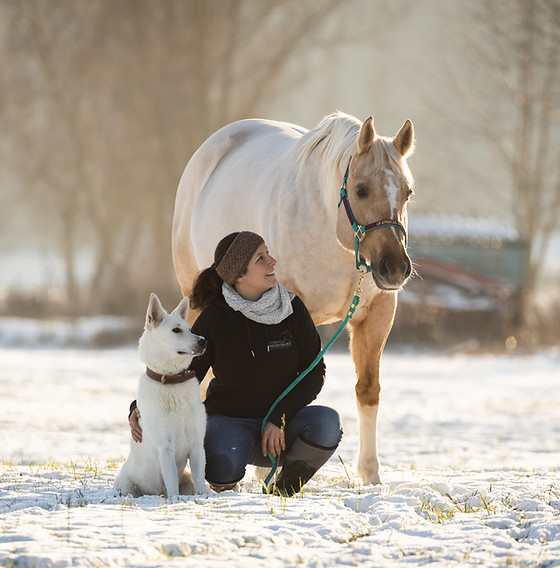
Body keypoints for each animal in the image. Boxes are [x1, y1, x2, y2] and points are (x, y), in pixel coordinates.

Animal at [114, 292, 208, 496]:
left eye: (189, 329)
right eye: (176, 330)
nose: (204, 340)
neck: (172, 381)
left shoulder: (197, 446)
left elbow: (200, 482)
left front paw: (204, 498)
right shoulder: (165, 448)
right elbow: (172, 486)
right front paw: (174, 500)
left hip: (186, 478)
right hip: (126, 486)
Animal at [173, 111, 414, 484]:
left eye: (407, 192)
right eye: (361, 190)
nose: (395, 268)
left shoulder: (377, 312)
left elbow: (367, 391)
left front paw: (371, 476)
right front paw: (269, 472)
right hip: (195, 299)